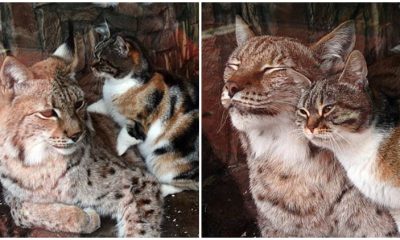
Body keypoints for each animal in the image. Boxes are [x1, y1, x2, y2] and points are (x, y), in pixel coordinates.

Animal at [0, 41, 163, 236]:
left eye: (78, 103)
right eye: (47, 113)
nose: (76, 135)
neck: (40, 162)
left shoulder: (139, 179)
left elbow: (140, 229)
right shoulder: (12, 196)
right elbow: (22, 211)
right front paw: (84, 216)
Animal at [88, 21, 199, 196]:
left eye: (102, 60)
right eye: (94, 54)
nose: (91, 66)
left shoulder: (140, 124)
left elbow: (125, 135)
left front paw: (118, 151)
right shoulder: (109, 105)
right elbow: (99, 105)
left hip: (160, 160)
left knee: (187, 184)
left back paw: (163, 188)